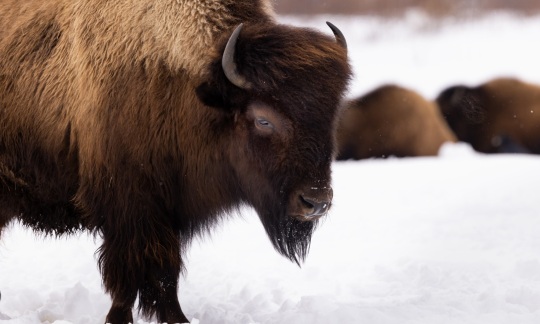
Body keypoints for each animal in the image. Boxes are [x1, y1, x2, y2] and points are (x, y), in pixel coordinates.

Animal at [0, 1, 350, 322]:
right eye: (263, 119)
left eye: (331, 115)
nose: (315, 202)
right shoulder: (129, 211)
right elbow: (128, 278)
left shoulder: (166, 214)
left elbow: (165, 276)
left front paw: (176, 318)